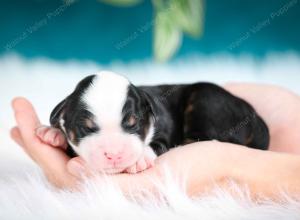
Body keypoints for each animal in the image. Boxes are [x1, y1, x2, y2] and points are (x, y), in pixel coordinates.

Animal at [35, 70, 270, 174]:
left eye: (133, 123)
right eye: (87, 127)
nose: (114, 154)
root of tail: (256, 117)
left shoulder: (164, 131)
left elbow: (158, 144)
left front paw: (139, 159)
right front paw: (52, 133)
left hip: (207, 100)